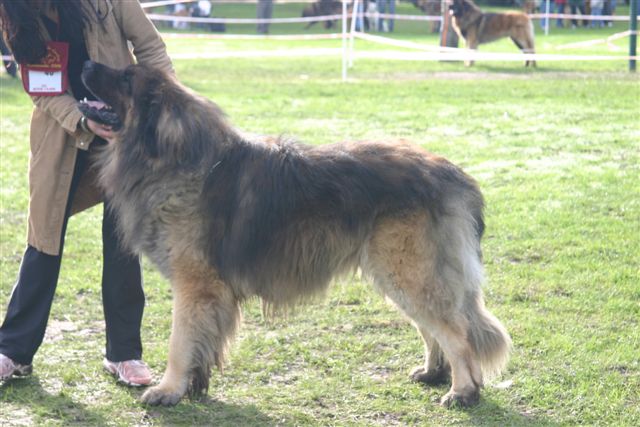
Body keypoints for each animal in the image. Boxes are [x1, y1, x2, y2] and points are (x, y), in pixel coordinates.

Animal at [80, 60, 510, 408]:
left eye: (125, 77)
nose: (86, 62)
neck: (170, 158)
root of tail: (456, 176)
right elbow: (201, 344)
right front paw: (194, 386)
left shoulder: (195, 287)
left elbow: (179, 344)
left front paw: (169, 390)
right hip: (399, 274)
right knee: (433, 326)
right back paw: (433, 373)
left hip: (406, 271)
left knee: (456, 332)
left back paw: (462, 391)